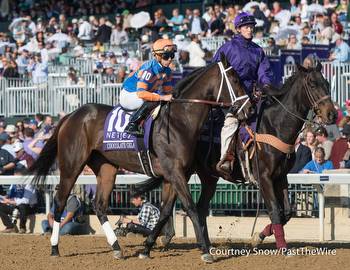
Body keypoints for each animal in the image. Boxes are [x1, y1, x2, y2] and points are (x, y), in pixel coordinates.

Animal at [28, 55, 252, 264]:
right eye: (235, 79)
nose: (249, 109)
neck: (180, 121)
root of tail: (70, 116)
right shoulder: (175, 173)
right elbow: (191, 208)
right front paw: (205, 251)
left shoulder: (173, 175)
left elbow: (165, 212)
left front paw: (146, 248)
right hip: (71, 165)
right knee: (60, 201)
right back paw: (55, 248)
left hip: (106, 167)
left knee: (99, 204)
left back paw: (117, 248)